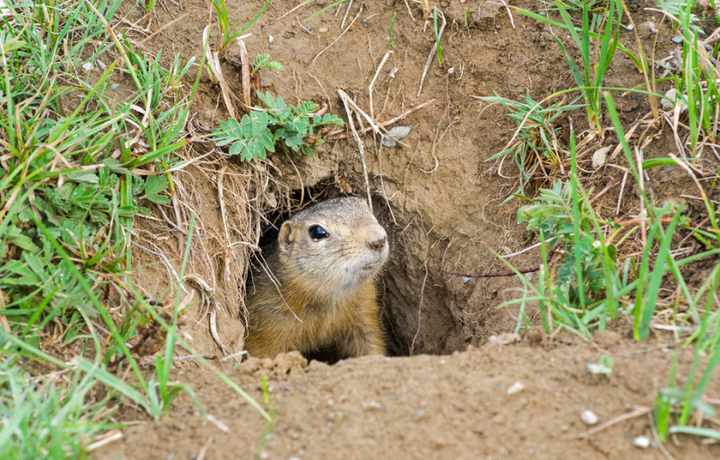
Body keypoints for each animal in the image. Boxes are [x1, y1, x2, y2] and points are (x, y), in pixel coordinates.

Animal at [242, 196, 388, 362]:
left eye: (367, 208)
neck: (330, 298)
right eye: (317, 232)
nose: (379, 240)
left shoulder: (364, 313)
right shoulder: (265, 328)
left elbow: (370, 344)